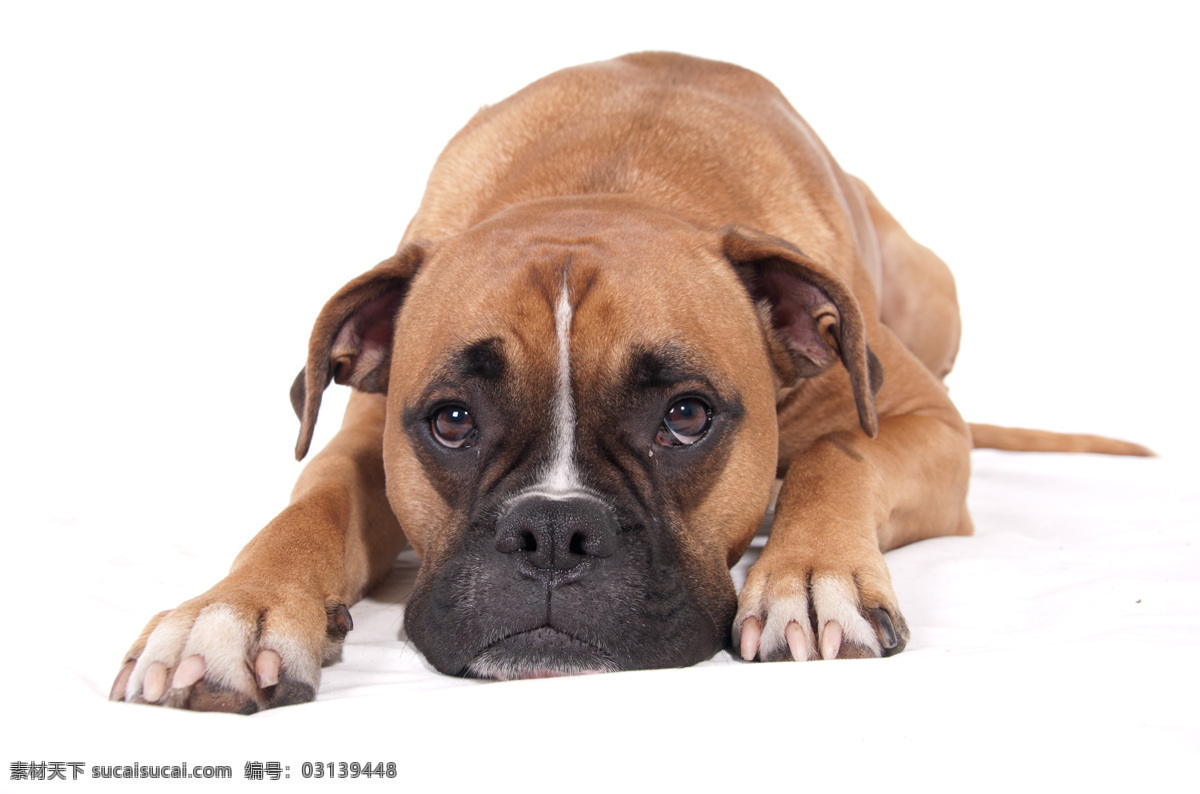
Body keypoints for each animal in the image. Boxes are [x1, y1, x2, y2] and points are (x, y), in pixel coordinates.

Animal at [114, 52, 1152, 710]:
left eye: (686, 417)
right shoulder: (364, 432)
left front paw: (810, 577)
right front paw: (228, 612)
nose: (552, 532)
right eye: (450, 421)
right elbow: (310, 504)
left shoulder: (926, 423)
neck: (605, 184)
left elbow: (840, 455)